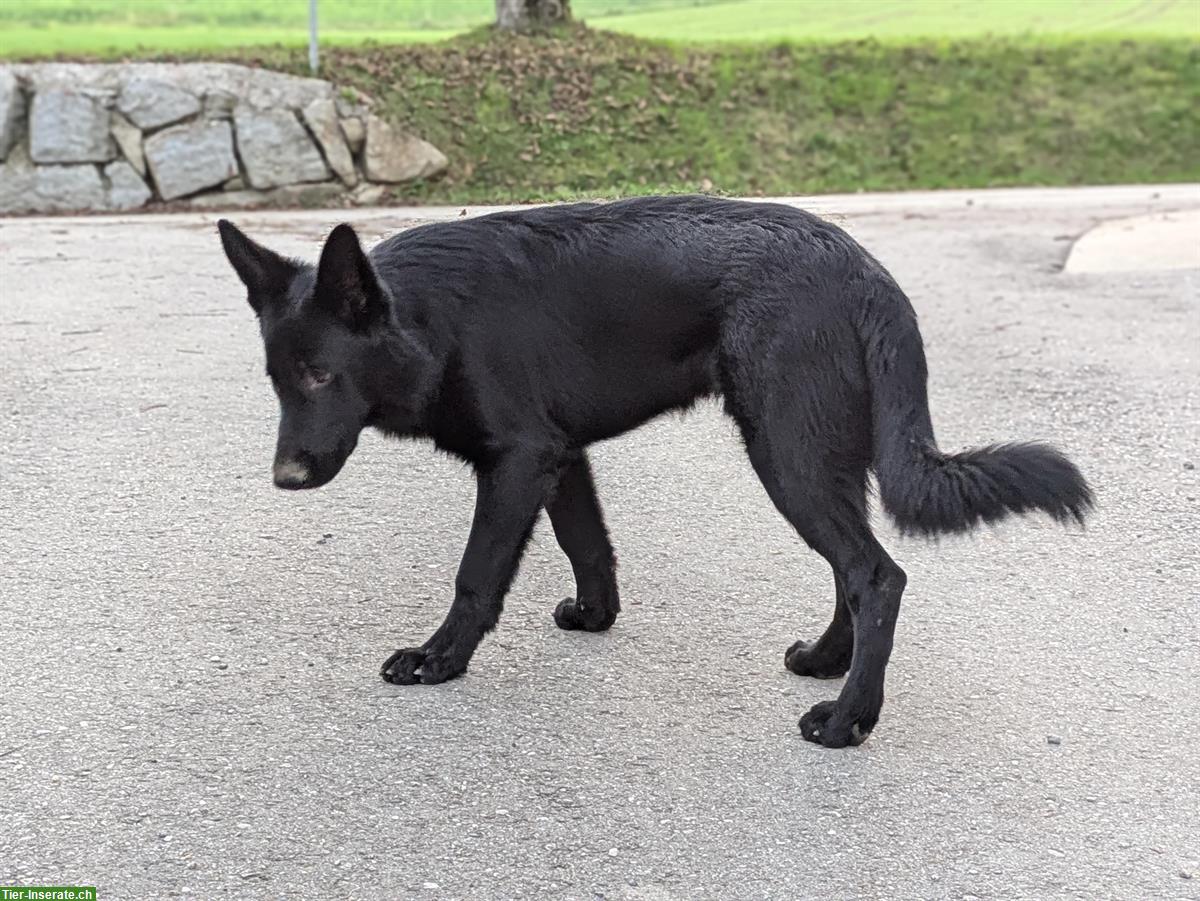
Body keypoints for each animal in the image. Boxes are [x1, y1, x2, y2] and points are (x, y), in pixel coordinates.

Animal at [216, 195, 1089, 748]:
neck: (430, 319)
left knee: (877, 574)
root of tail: (866, 272)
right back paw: (826, 662)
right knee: (854, 569)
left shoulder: (518, 462)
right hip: (816, 460)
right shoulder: (559, 458)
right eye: (276, 380)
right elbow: (588, 545)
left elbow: (476, 574)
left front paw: (440, 658)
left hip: (786, 456)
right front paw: (595, 615)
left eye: (322, 375)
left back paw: (848, 719)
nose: (286, 477)